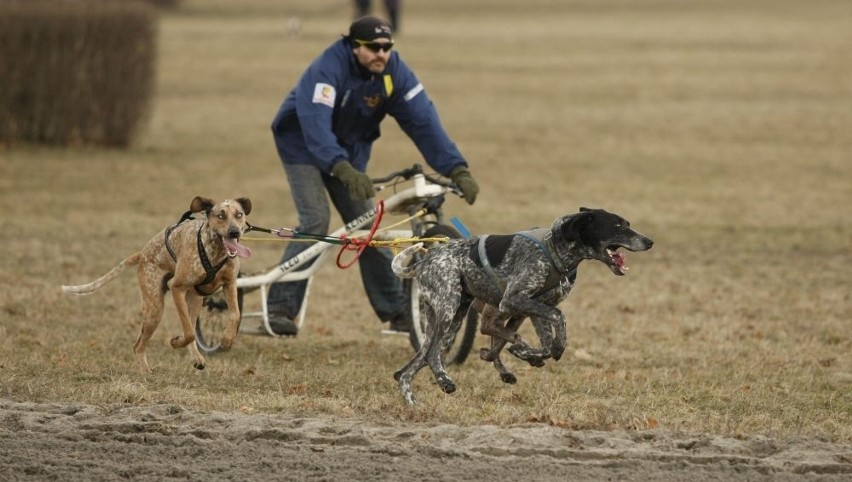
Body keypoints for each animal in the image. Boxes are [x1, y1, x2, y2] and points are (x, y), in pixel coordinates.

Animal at [62, 197, 251, 372]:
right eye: (221, 216)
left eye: (239, 215)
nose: (234, 232)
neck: (215, 251)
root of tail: (143, 253)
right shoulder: (176, 287)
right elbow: (189, 333)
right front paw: (176, 342)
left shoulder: (230, 284)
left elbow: (235, 314)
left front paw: (227, 339)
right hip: (155, 309)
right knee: (139, 345)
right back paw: (146, 371)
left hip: (195, 300)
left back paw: (196, 357)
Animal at [392, 208, 652, 406]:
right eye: (617, 226)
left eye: (628, 224)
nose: (650, 241)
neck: (554, 247)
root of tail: (425, 260)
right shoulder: (513, 300)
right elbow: (559, 318)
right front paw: (547, 348)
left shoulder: (532, 308)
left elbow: (542, 343)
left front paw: (527, 353)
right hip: (449, 309)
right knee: (432, 354)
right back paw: (444, 381)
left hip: (453, 318)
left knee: (413, 366)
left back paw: (413, 402)